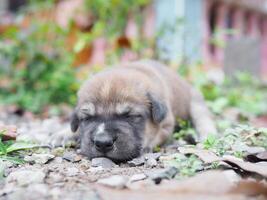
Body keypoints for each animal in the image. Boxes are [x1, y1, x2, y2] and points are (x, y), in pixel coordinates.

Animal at [54, 59, 218, 162]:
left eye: (130, 116)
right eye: (87, 118)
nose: (103, 142)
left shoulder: (166, 124)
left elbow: (156, 134)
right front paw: (65, 134)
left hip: (195, 100)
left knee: (203, 118)